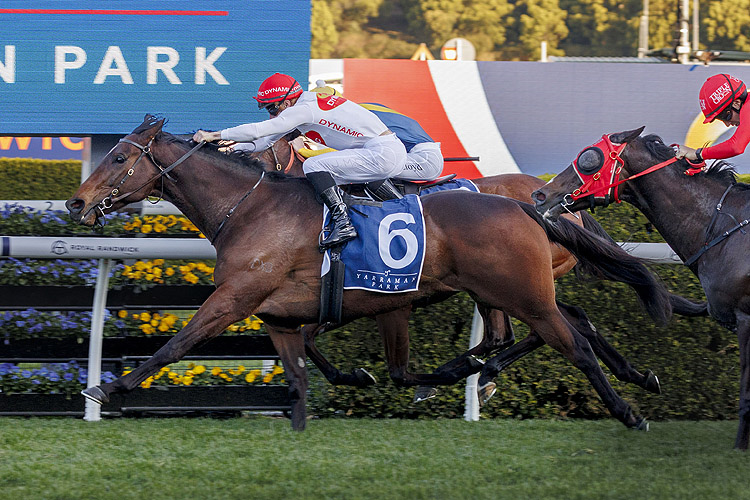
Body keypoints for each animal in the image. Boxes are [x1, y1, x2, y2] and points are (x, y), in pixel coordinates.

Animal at [251, 135, 704, 400]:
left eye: (255, 153)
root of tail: (554, 205)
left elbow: (312, 334)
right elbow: (309, 336)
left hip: (509, 282)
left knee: (524, 331)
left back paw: (480, 374)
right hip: (510, 284)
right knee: (566, 320)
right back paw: (635, 374)